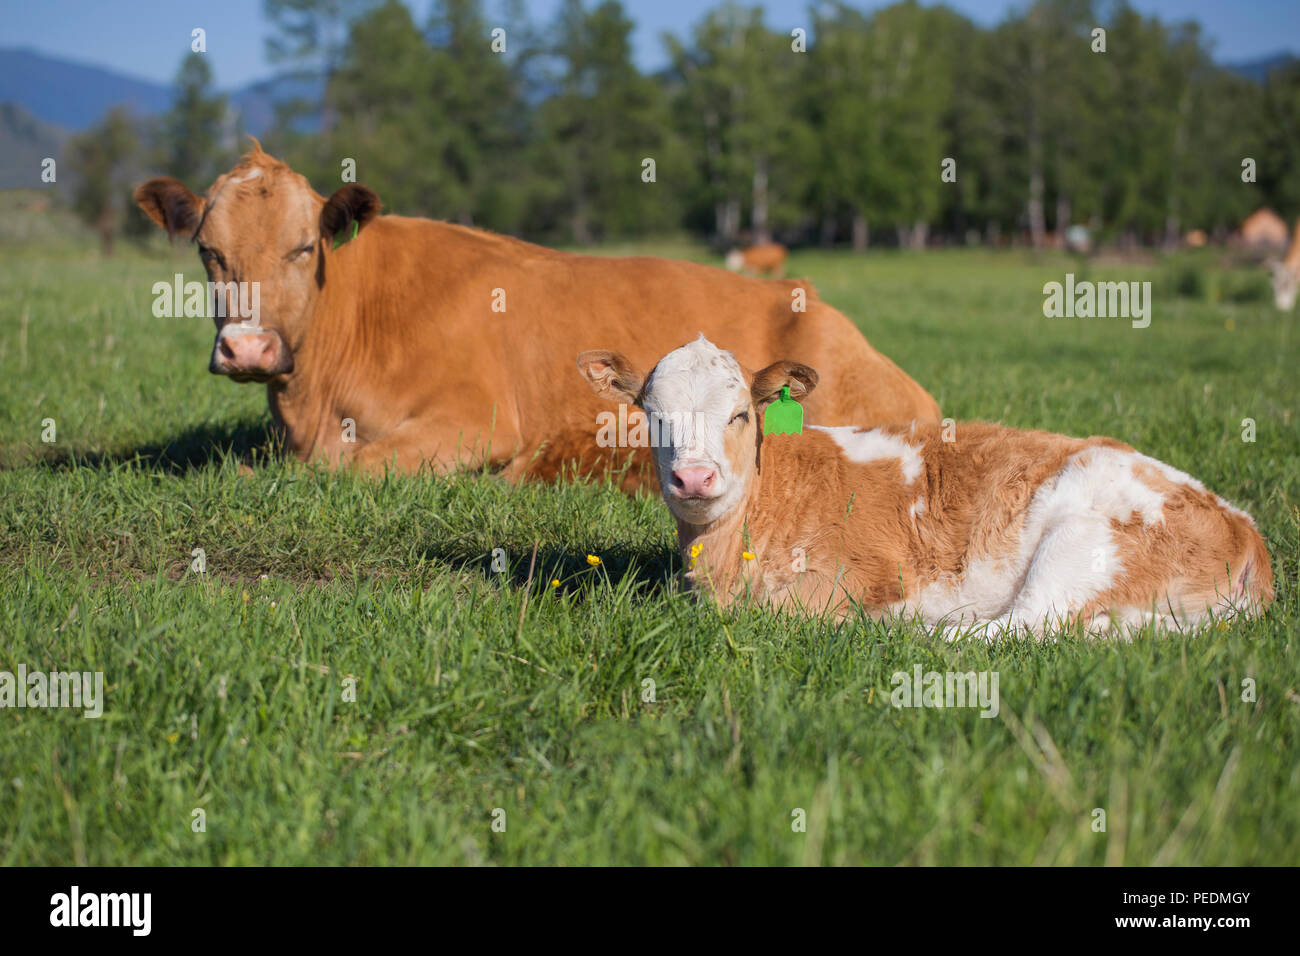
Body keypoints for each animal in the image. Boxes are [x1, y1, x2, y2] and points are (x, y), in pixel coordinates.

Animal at [576, 336, 1273, 636]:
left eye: (740, 414)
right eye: (652, 414)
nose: (694, 476)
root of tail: (1240, 522)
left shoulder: (850, 578)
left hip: (1081, 546)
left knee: (1013, 628)